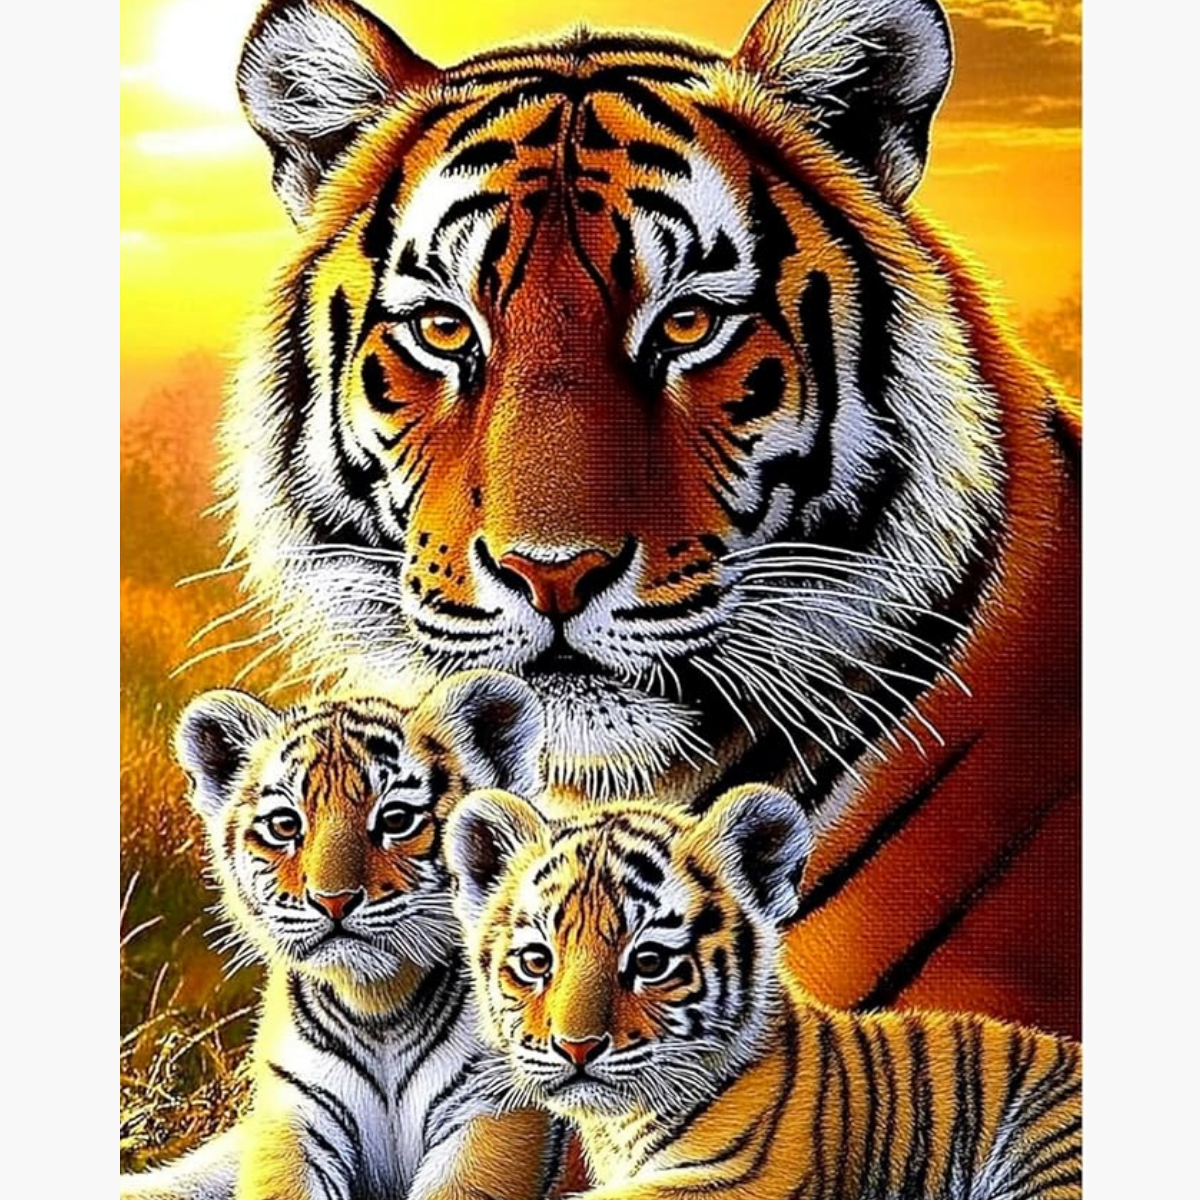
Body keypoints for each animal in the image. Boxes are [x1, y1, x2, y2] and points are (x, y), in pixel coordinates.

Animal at [120, 670, 561, 1200]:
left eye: (396, 819)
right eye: (284, 824)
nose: (333, 900)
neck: (379, 1007)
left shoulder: (492, 1109)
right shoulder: (294, 1112)